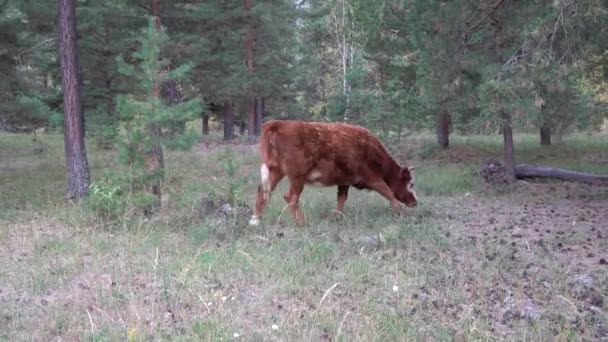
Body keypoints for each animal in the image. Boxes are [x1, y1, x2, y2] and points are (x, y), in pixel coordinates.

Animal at [247, 119, 418, 226]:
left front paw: (337, 217)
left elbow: (341, 199)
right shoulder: (372, 178)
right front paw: (401, 212)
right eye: (411, 183)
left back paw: (255, 221)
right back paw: (302, 224)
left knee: (263, 192)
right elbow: (388, 192)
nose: (415, 202)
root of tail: (279, 123)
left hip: (275, 171)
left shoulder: (345, 181)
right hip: (297, 177)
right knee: (291, 197)